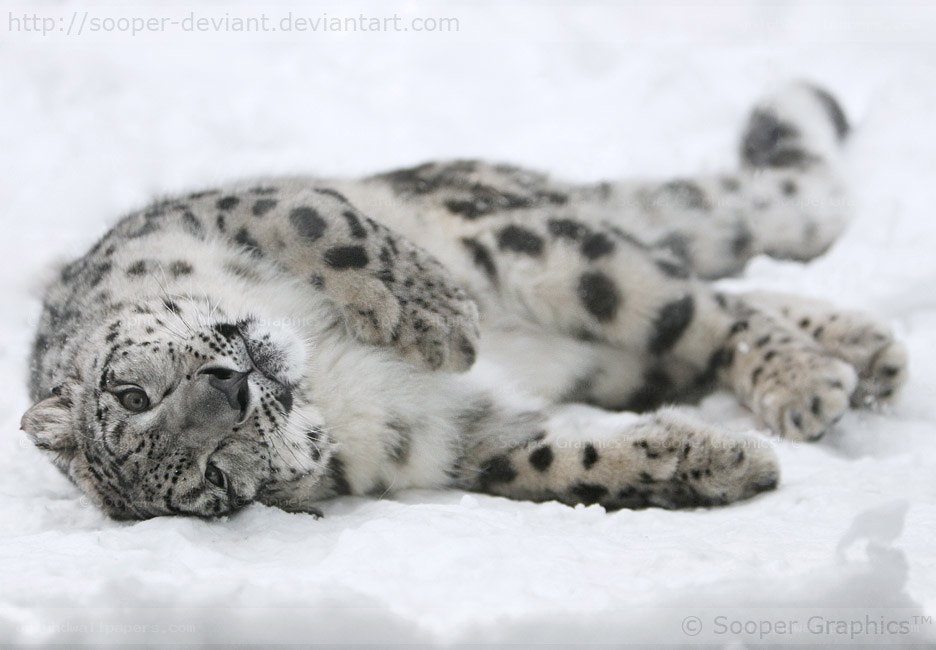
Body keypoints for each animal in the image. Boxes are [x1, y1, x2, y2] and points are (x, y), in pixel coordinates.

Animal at [21, 82, 907, 520]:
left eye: (129, 393)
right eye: (209, 482)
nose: (232, 387)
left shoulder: (220, 209)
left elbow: (321, 222)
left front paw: (430, 315)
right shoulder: (458, 436)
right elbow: (562, 461)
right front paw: (709, 462)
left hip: (544, 248)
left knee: (705, 301)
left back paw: (808, 377)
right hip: (621, 358)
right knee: (712, 306)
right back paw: (861, 357)